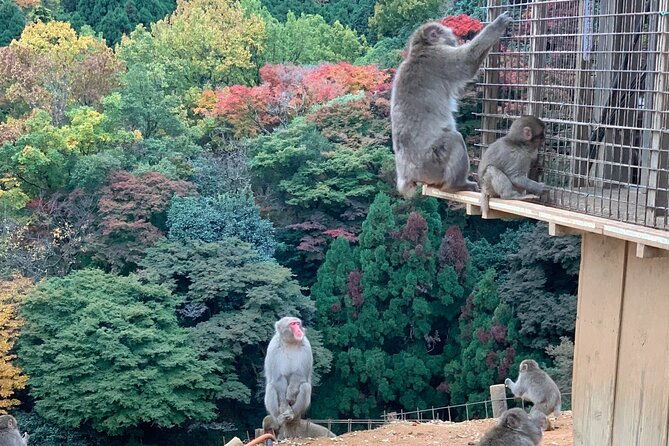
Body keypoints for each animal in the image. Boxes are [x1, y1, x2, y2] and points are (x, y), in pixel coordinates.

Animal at [390, 12, 513, 198]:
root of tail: (408, 176)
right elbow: (468, 61)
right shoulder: (440, 58)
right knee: (454, 139)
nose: (454, 39)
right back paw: (456, 185)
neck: (420, 49)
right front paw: (497, 25)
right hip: (432, 164)